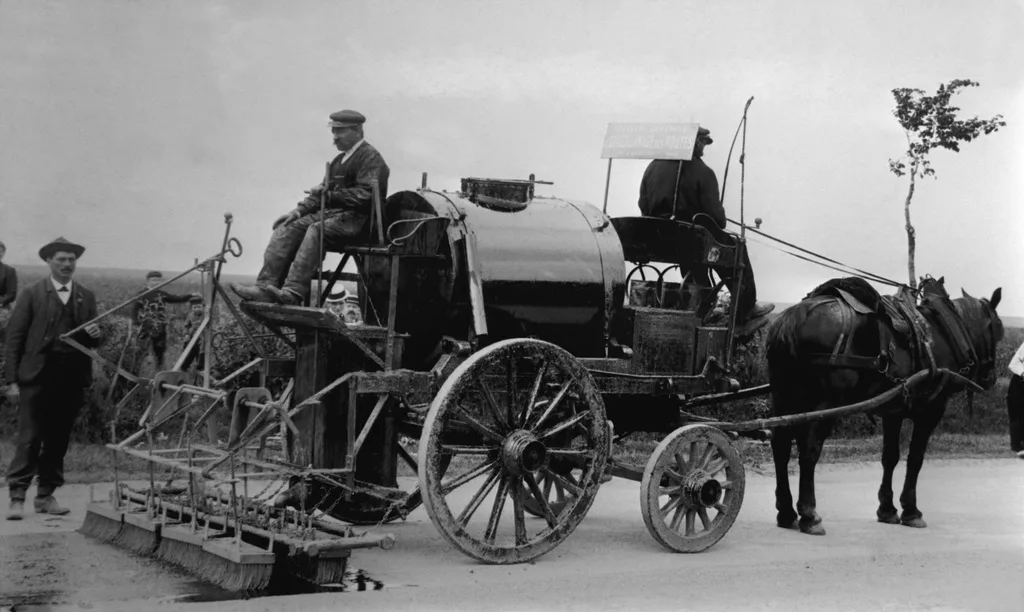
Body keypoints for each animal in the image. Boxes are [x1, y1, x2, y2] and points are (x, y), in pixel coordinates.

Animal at [770, 278, 999, 536]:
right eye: (997, 329)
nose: (991, 378)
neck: (943, 332)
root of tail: (795, 316)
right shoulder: (931, 411)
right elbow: (915, 458)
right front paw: (911, 510)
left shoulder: (893, 412)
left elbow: (890, 456)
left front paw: (887, 509)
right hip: (824, 403)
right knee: (809, 451)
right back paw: (810, 515)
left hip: (784, 397)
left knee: (780, 447)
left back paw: (786, 512)